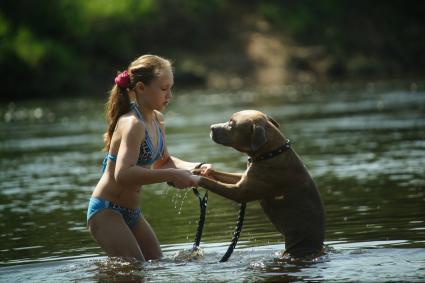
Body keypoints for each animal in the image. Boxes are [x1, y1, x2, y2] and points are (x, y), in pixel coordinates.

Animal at [195, 111, 324, 260]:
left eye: (232, 123)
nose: (211, 127)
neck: (270, 154)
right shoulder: (243, 179)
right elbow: (220, 175)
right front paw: (201, 170)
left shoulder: (239, 192)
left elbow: (213, 183)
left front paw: (193, 177)